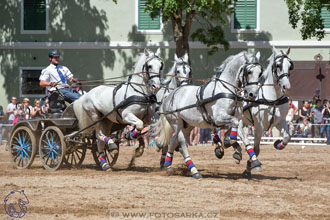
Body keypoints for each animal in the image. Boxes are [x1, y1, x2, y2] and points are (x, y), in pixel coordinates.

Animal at [157, 51, 262, 179]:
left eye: (260, 72)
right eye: (249, 71)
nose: (253, 94)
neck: (227, 90)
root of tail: (170, 94)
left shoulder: (238, 117)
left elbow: (244, 136)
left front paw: (253, 161)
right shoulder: (218, 118)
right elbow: (234, 124)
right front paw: (230, 142)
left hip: (187, 125)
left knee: (172, 141)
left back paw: (168, 165)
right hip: (176, 123)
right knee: (182, 143)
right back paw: (194, 170)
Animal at [241, 47, 292, 177]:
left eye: (290, 65)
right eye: (278, 65)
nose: (286, 86)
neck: (273, 99)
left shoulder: (280, 122)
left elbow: (287, 137)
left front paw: (278, 144)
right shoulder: (259, 126)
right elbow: (256, 149)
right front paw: (250, 166)